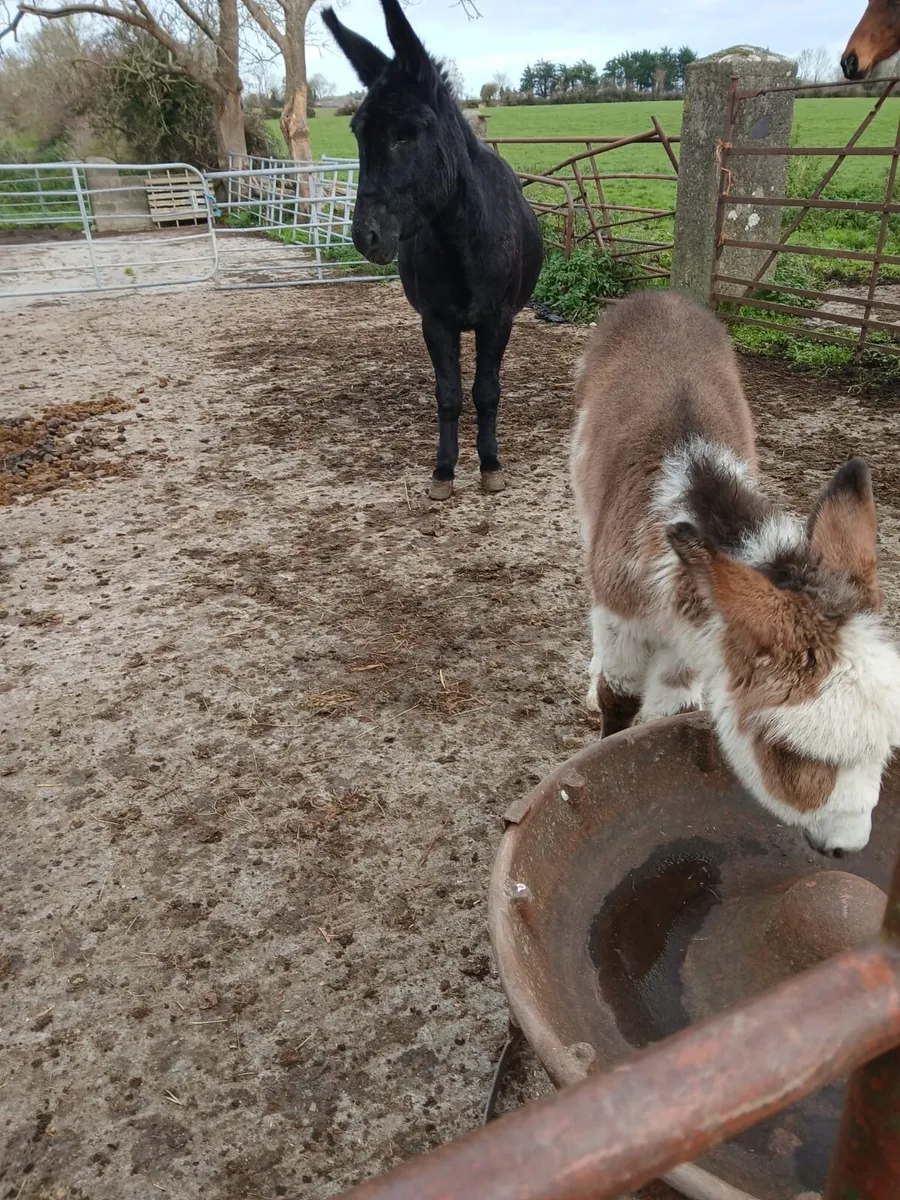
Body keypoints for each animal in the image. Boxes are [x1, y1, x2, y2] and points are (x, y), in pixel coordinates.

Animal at [322, 0, 543, 500]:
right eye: (358, 133)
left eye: (404, 134)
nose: (366, 236)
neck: (463, 239)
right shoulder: (436, 322)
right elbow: (448, 395)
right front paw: (444, 470)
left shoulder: (498, 320)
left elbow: (486, 392)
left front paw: (490, 464)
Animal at [571, 289, 900, 856]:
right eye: (790, 752)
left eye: (883, 751)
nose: (848, 847)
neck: (701, 493)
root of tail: (660, 294)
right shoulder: (624, 611)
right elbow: (621, 698)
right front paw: (605, 734)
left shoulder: (693, 631)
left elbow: (669, 709)